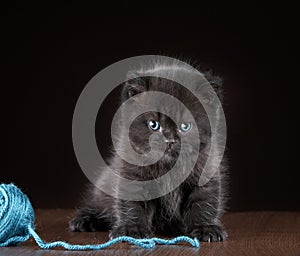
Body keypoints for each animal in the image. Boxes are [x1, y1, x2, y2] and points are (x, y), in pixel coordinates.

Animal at [70, 60, 229, 242]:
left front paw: (205, 228)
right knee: (98, 204)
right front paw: (132, 229)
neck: (168, 166)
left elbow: (204, 202)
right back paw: (85, 220)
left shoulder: (205, 173)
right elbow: (132, 202)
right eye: (154, 125)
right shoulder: (132, 174)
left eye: (185, 126)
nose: (169, 141)